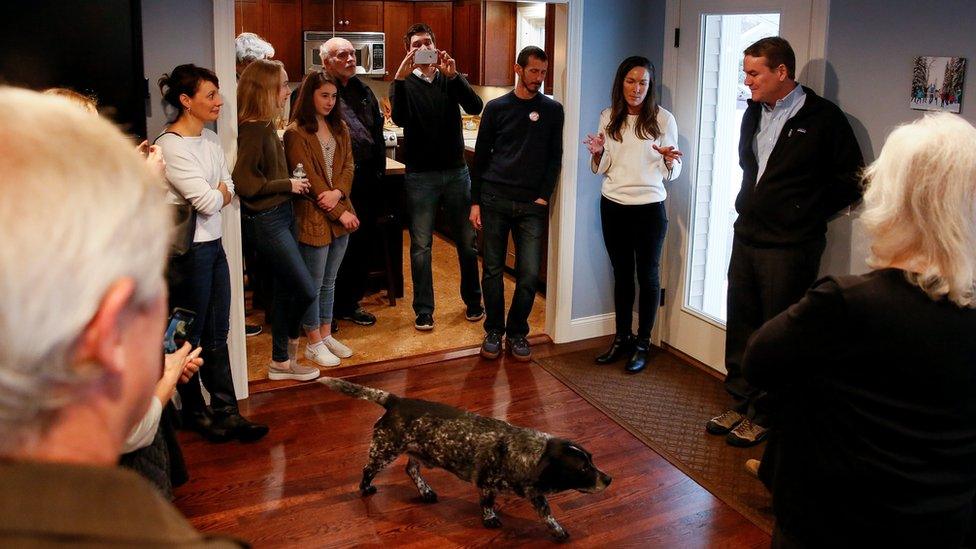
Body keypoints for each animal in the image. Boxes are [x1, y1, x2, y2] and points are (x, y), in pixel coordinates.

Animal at [318, 376, 608, 540]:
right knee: (367, 469)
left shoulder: (535, 493)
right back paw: (366, 488)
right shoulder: (488, 485)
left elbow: (547, 514)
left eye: (592, 460)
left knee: (411, 471)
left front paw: (556, 530)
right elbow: (488, 504)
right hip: (384, 451)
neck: (529, 452)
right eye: (583, 469)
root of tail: (395, 400)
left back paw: (425, 491)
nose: (609, 479)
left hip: (418, 451)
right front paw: (490, 519)